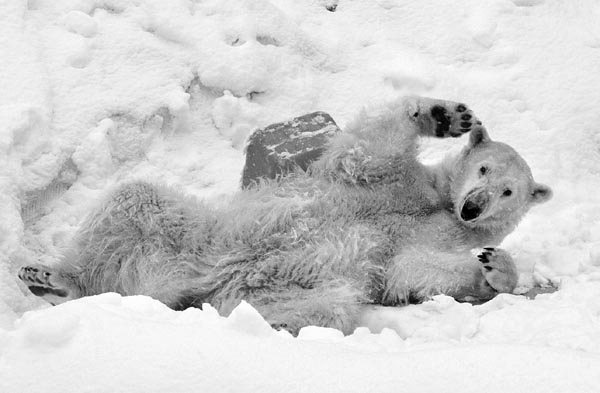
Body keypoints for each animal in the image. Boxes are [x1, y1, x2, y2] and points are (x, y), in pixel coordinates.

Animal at [18, 96, 552, 332]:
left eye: (508, 191)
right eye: (483, 167)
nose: (473, 206)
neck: (440, 203)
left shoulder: (432, 237)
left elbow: (414, 269)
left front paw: (496, 267)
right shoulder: (390, 182)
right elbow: (367, 150)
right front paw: (445, 115)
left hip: (271, 286)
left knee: (329, 305)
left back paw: (264, 324)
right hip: (190, 234)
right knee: (133, 199)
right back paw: (55, 278)